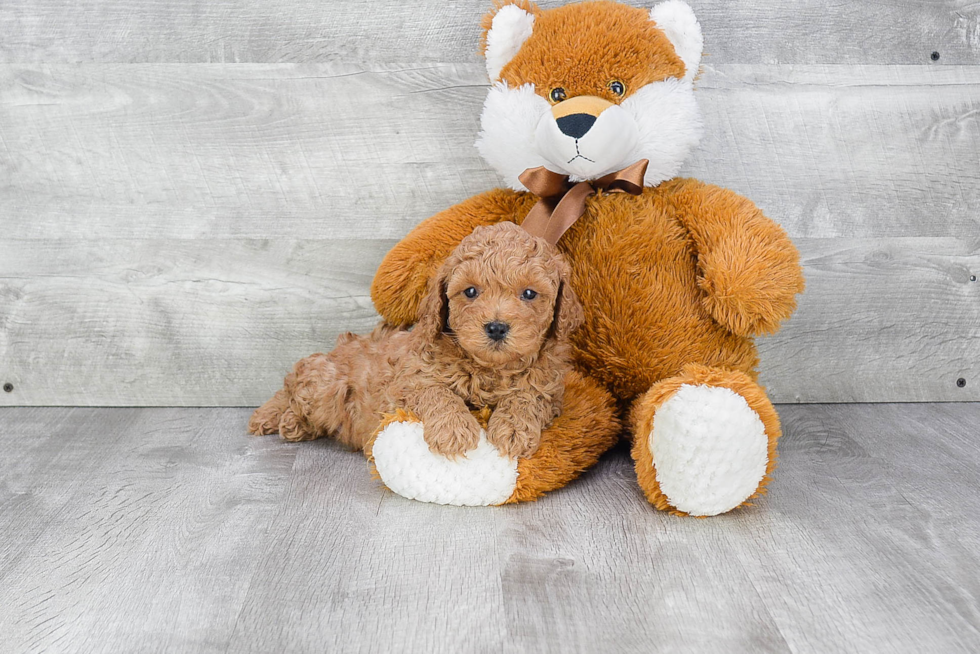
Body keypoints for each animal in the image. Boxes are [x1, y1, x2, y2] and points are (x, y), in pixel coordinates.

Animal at [249, 224, 580, 462]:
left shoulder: (549, 390)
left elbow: (527, 397)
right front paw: (453, 430)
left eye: (529, 294)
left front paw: (513, 429)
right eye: (471, 291)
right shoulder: (407, 381)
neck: (488, 368)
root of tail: (337, 349)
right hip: (325, 386)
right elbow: (437, 392)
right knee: (292, 390)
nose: (496, 327)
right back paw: (284, 419)